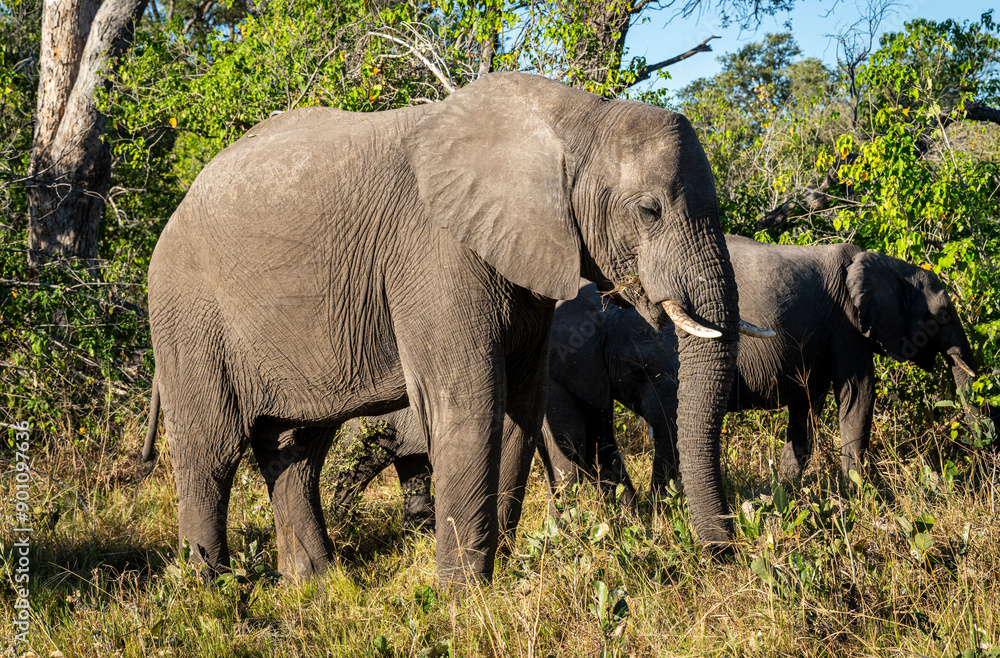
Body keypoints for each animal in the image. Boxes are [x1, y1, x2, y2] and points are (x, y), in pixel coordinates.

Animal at [142, 71, 749, 586]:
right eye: (649, 211)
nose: (721, 558)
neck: (573, 118)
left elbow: (519, 407)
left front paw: (497, 567)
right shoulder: (435, 254)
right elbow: (471, 405)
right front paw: (464, 596)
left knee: (296, 451)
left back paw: (315, 584)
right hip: (189, 314)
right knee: (210, 452)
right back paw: (213, 592)